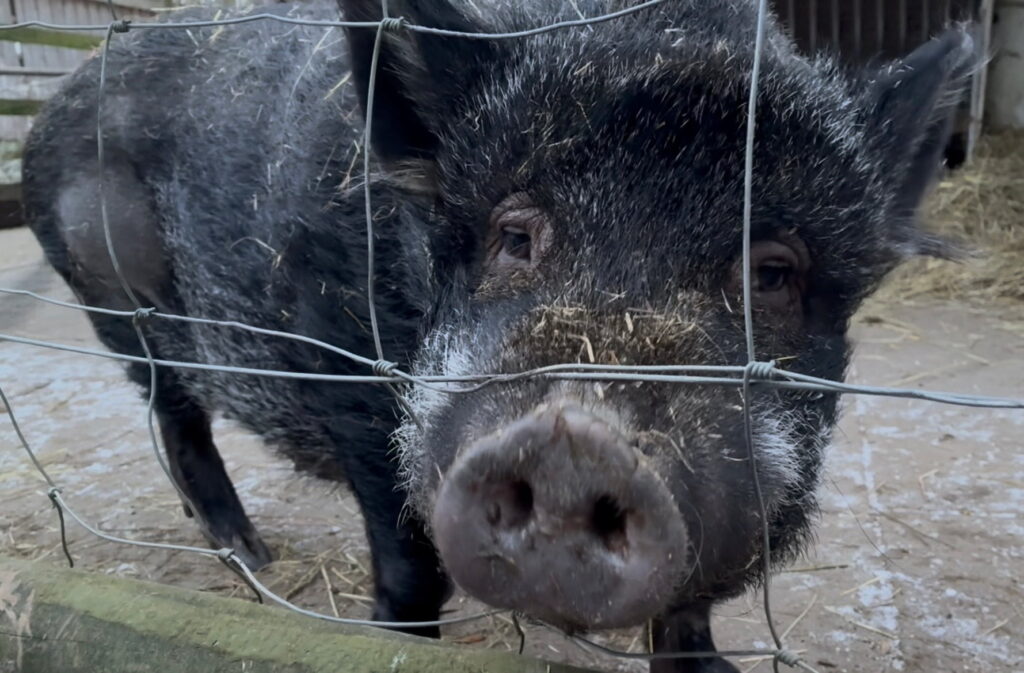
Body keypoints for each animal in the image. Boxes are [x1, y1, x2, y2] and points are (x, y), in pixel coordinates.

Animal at [21, 0, 973, 669]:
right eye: (514, 235)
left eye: (773, 273)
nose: (575, 439)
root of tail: (52, 105)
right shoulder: (350, 371)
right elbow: (410, 560)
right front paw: (386, 644)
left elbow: (690, 604)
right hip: (119, 305)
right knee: (176, 418)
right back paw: (250, 555)